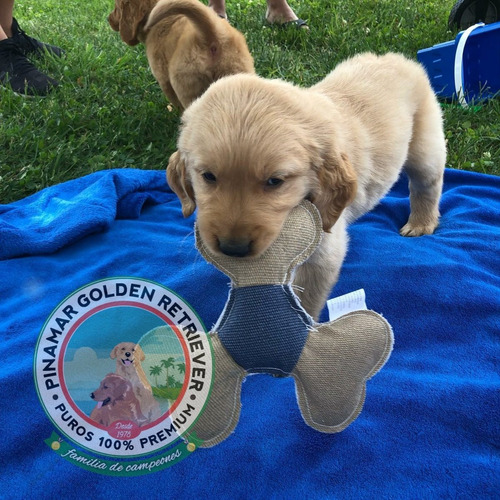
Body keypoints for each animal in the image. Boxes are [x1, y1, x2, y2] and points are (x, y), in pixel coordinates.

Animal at [167, 52, 446, 318]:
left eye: (275, 181)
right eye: (208, 176)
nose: (232, 249)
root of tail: (396, 59)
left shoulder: (322, 251)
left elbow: (303, 299)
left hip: (424, 147)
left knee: (427, 185)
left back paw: (420, 223)